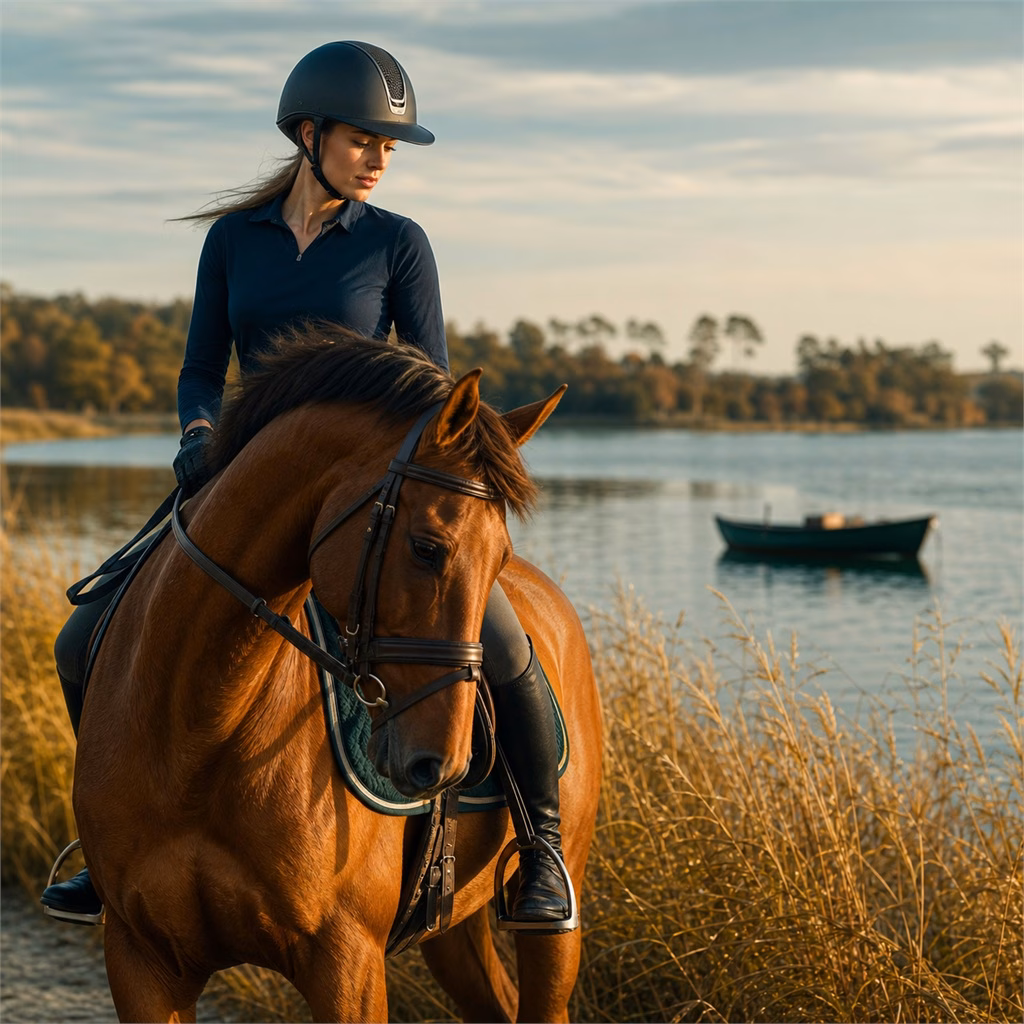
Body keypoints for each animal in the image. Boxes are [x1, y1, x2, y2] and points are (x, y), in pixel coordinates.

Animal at [71, 329, 603, 1023]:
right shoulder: (141, 960)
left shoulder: (346, 962)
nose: (446, 767)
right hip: (453, 927)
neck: (199, 728)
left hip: (553, 918)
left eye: (500, 556)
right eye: (427, 547)